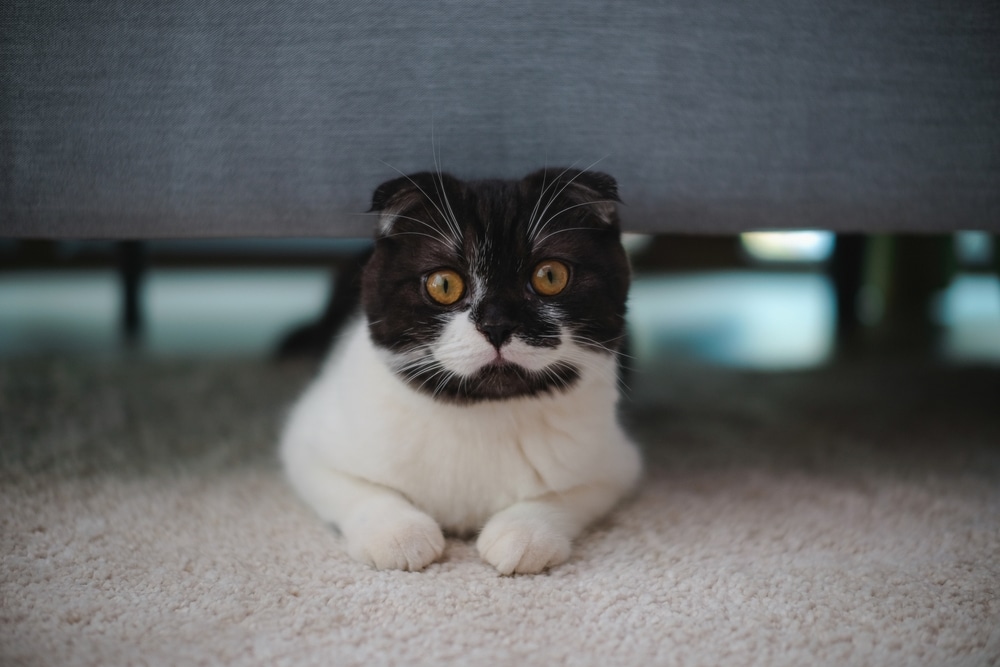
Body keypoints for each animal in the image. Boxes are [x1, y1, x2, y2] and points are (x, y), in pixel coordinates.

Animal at [280, 168, 640, 576]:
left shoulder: (616, 463)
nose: (497, 326)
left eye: (550, 276)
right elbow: (361, 490)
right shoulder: (307, 442)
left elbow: (567, 496)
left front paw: (524, 533)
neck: (480, 414)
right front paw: (399, 534)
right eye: (444, 284)